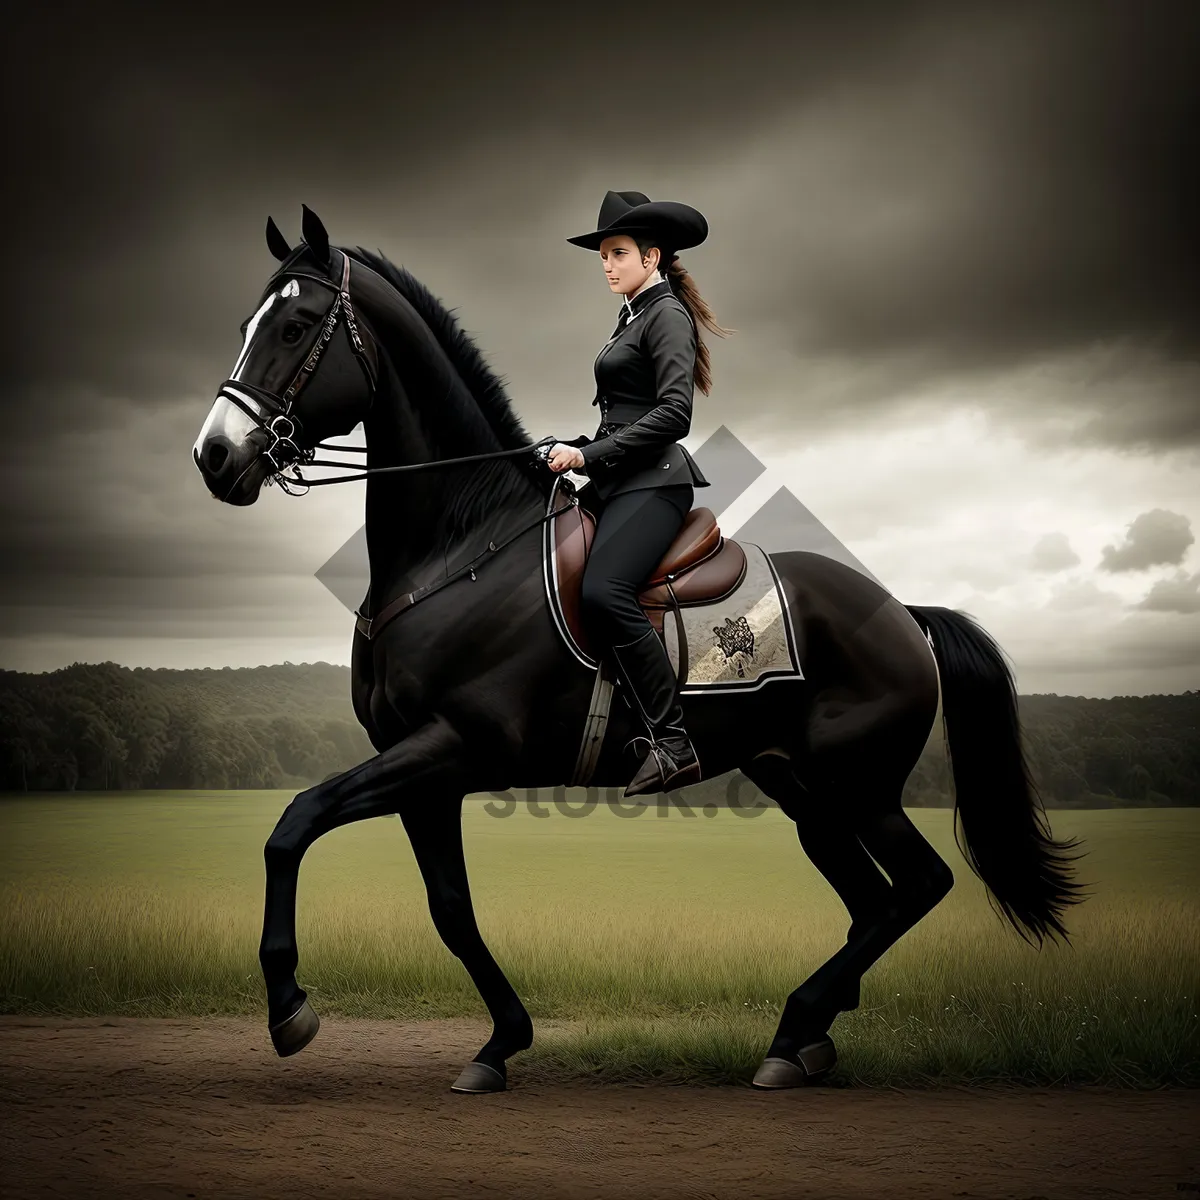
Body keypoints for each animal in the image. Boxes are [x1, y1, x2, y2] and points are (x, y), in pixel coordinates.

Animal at [189, 208, 1089, 1099]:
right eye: (245, 326)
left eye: (297, 325)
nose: (215, 457)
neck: (459, 546)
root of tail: (901, 614)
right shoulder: (424, 771)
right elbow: (450, 909)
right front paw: (499, 1043)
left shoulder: (451, 746)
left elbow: (293, 824)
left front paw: (289, 1008)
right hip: (804, 790)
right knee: (873, 901)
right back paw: (803, 1039)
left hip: (858, 787)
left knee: (919, 888)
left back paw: (796, 1026)